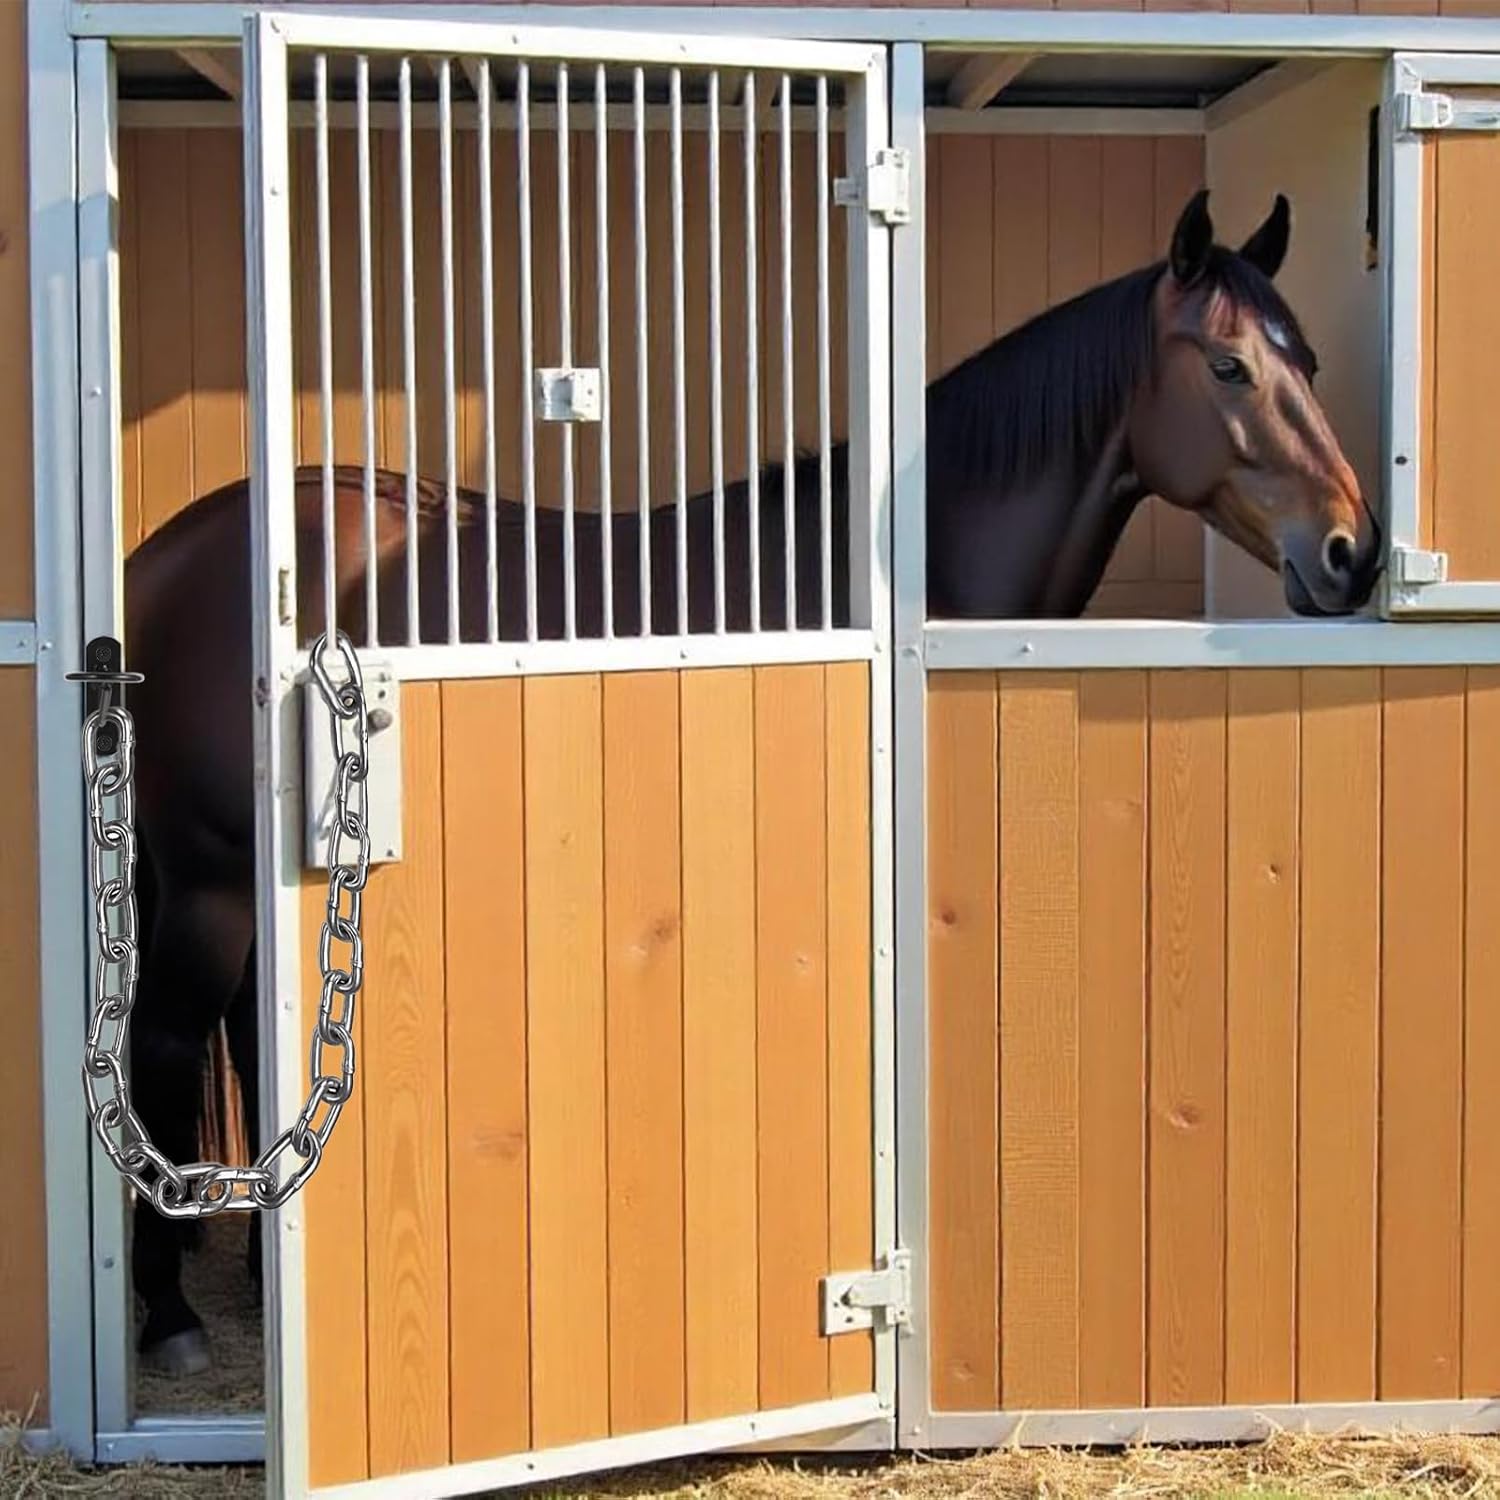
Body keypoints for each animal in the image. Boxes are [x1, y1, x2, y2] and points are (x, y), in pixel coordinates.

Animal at [120, 187, 1379, 1378]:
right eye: (1228, 363)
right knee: (165, 1045)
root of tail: (167, 551)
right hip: (209, 880)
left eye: (1310, 361)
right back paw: (170, 1318)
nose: (1352, 554)